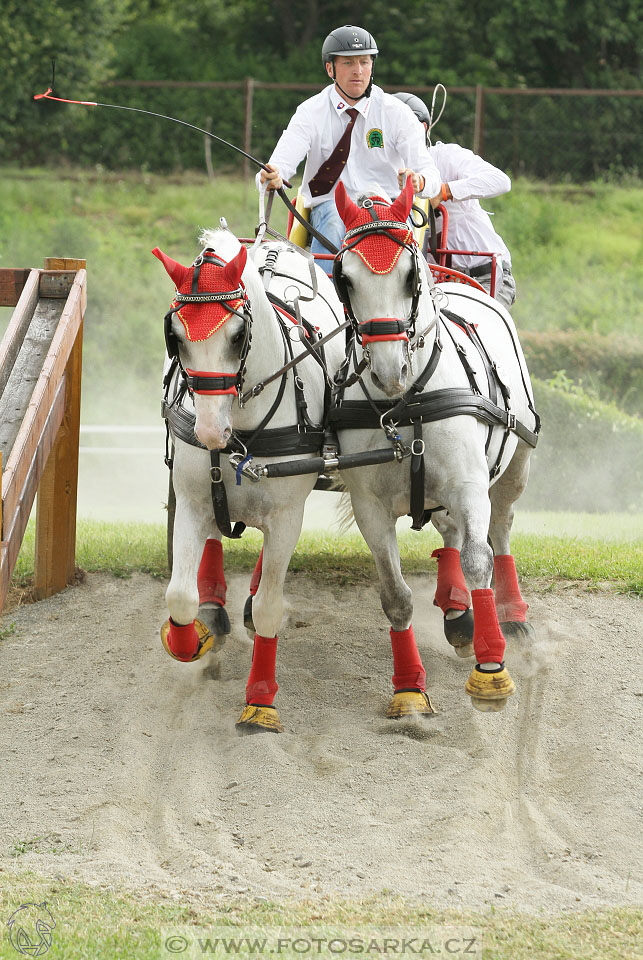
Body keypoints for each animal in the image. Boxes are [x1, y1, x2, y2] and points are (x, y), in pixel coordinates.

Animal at [153, 229, 348, 732]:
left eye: (238, 335)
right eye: (174, 334)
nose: (208, 432)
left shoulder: (287, 515)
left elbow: (268, 610)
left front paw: (261, 699)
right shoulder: (192, 501)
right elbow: (179, 595)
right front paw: (190, 641)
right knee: (212, 544)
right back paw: (214, 604)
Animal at [330, 182, 540, 712]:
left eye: (409, 275)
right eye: (344, 279)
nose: (389, 370)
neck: (405, 404)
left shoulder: (469, 486)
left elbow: (478, 560)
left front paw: (491, 668)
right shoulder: (368, 505)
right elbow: (395, 595)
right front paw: (409, 688)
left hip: (516, 461)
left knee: (499, 530)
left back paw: (510, 613)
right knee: (450, 533)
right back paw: (455, 609)